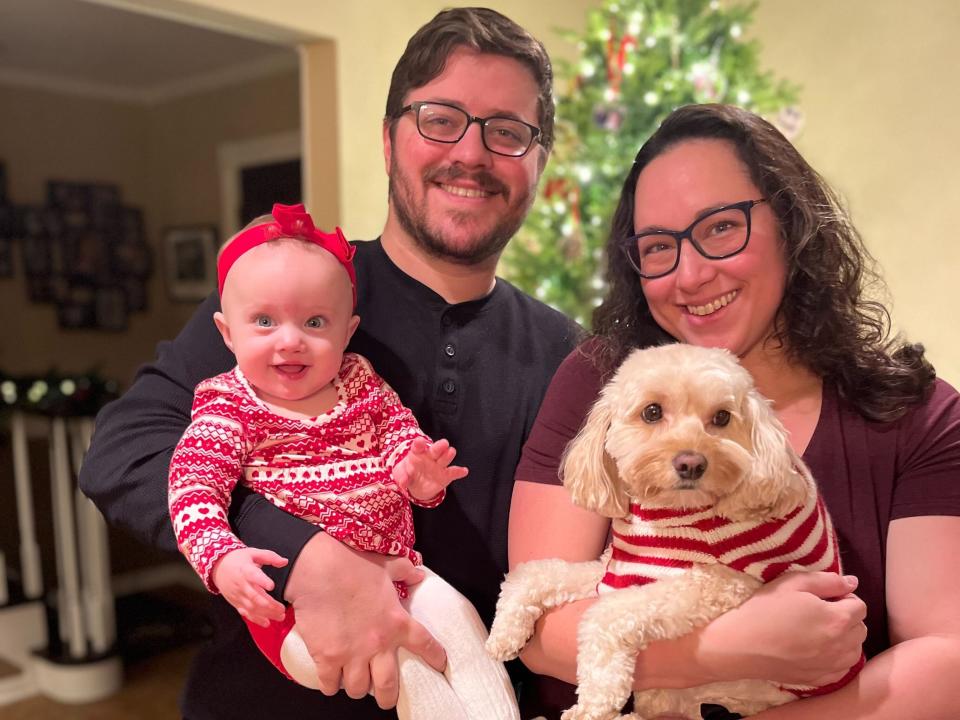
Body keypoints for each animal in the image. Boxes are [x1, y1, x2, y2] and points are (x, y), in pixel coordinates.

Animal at [488, 344, 864, 720]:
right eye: (652, 412)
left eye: (722, 418)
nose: (691, 464)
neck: (666, 512)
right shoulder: (619, 569)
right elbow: (537, 574)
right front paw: (503, 633)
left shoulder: (718, 582)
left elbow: (606, 615)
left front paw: (593, 702)